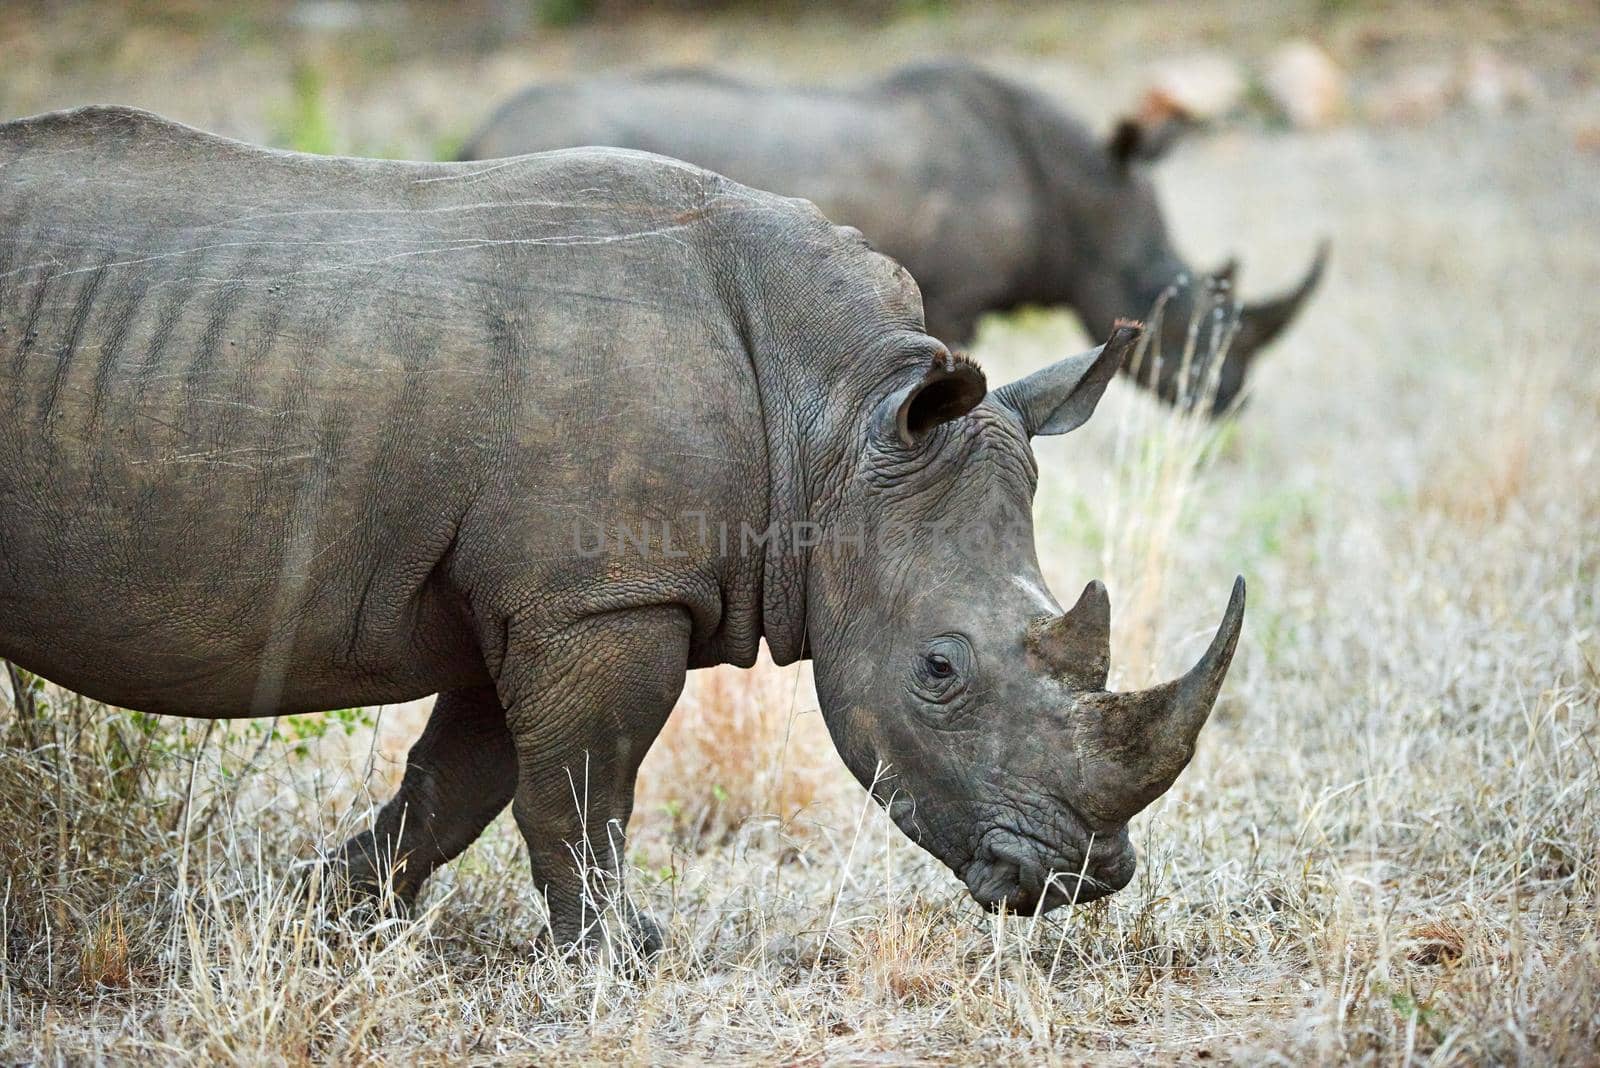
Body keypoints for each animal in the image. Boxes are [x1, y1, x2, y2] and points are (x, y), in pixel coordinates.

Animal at [0, 108, 1241, 959]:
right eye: (940, 670)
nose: (1078, 880)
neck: (837, 419)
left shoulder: (545, 592)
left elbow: (461, 781)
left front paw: (313, 913)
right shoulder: (604, 595)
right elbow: (580, 784)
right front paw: (614, 958)